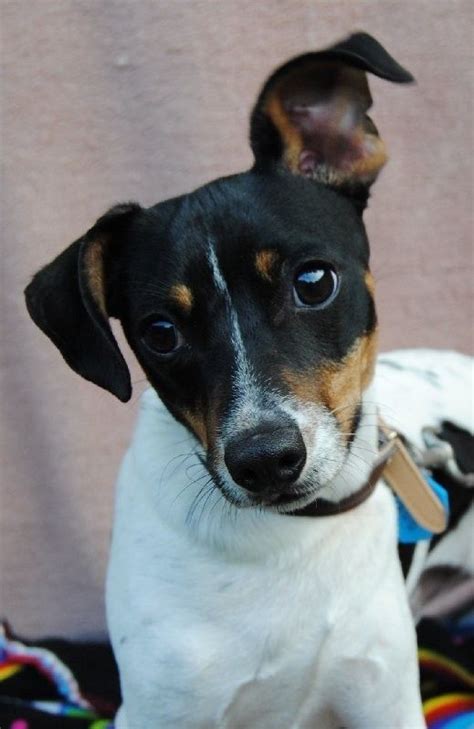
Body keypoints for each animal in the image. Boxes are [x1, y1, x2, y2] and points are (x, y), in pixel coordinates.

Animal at [26, 32, 474, 728]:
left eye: (314, 281)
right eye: (160, 332)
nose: (264, 460)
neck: (287, 543)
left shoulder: (383, 698)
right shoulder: (157, 710)